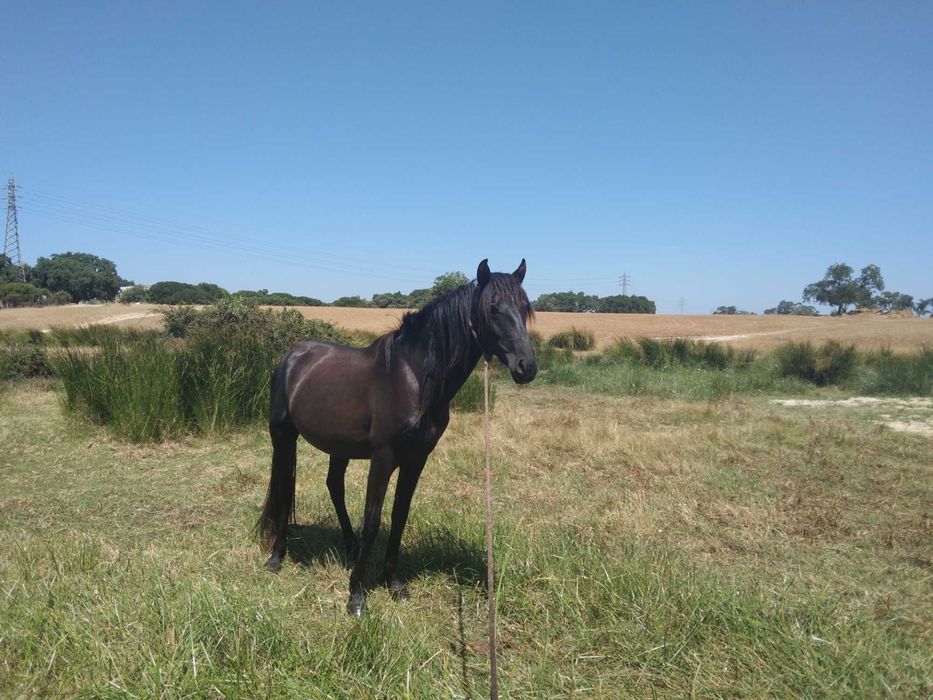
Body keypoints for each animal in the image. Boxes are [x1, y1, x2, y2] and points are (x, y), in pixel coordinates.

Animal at [257, 259, 538, 615]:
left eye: (525, 308)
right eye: (493, 308)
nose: (527, 367)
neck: (413, 377)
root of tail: (292, 356)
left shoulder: (416, 459)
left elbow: (399, 516)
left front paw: (394, 584)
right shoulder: (383, 456)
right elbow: (373, 520)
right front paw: (356, 596)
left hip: (339, 446)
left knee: (334, 486)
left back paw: (350, 548)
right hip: (283, 435)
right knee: (285, 486)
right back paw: (276, 558)